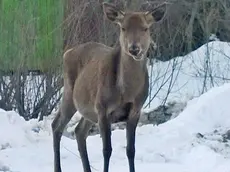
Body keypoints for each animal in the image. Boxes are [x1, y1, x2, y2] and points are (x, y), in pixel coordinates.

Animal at [52, 1, 166, 172]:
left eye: (145, 28)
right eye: (123, 28)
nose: (134, 48)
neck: (127, 92)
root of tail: (67, 52)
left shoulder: (135, 110)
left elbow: (131, 150)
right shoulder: (103, 108)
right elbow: (107, 150)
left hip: (89, 108)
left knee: (79, 131)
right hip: (69, 92)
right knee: (57, 126)